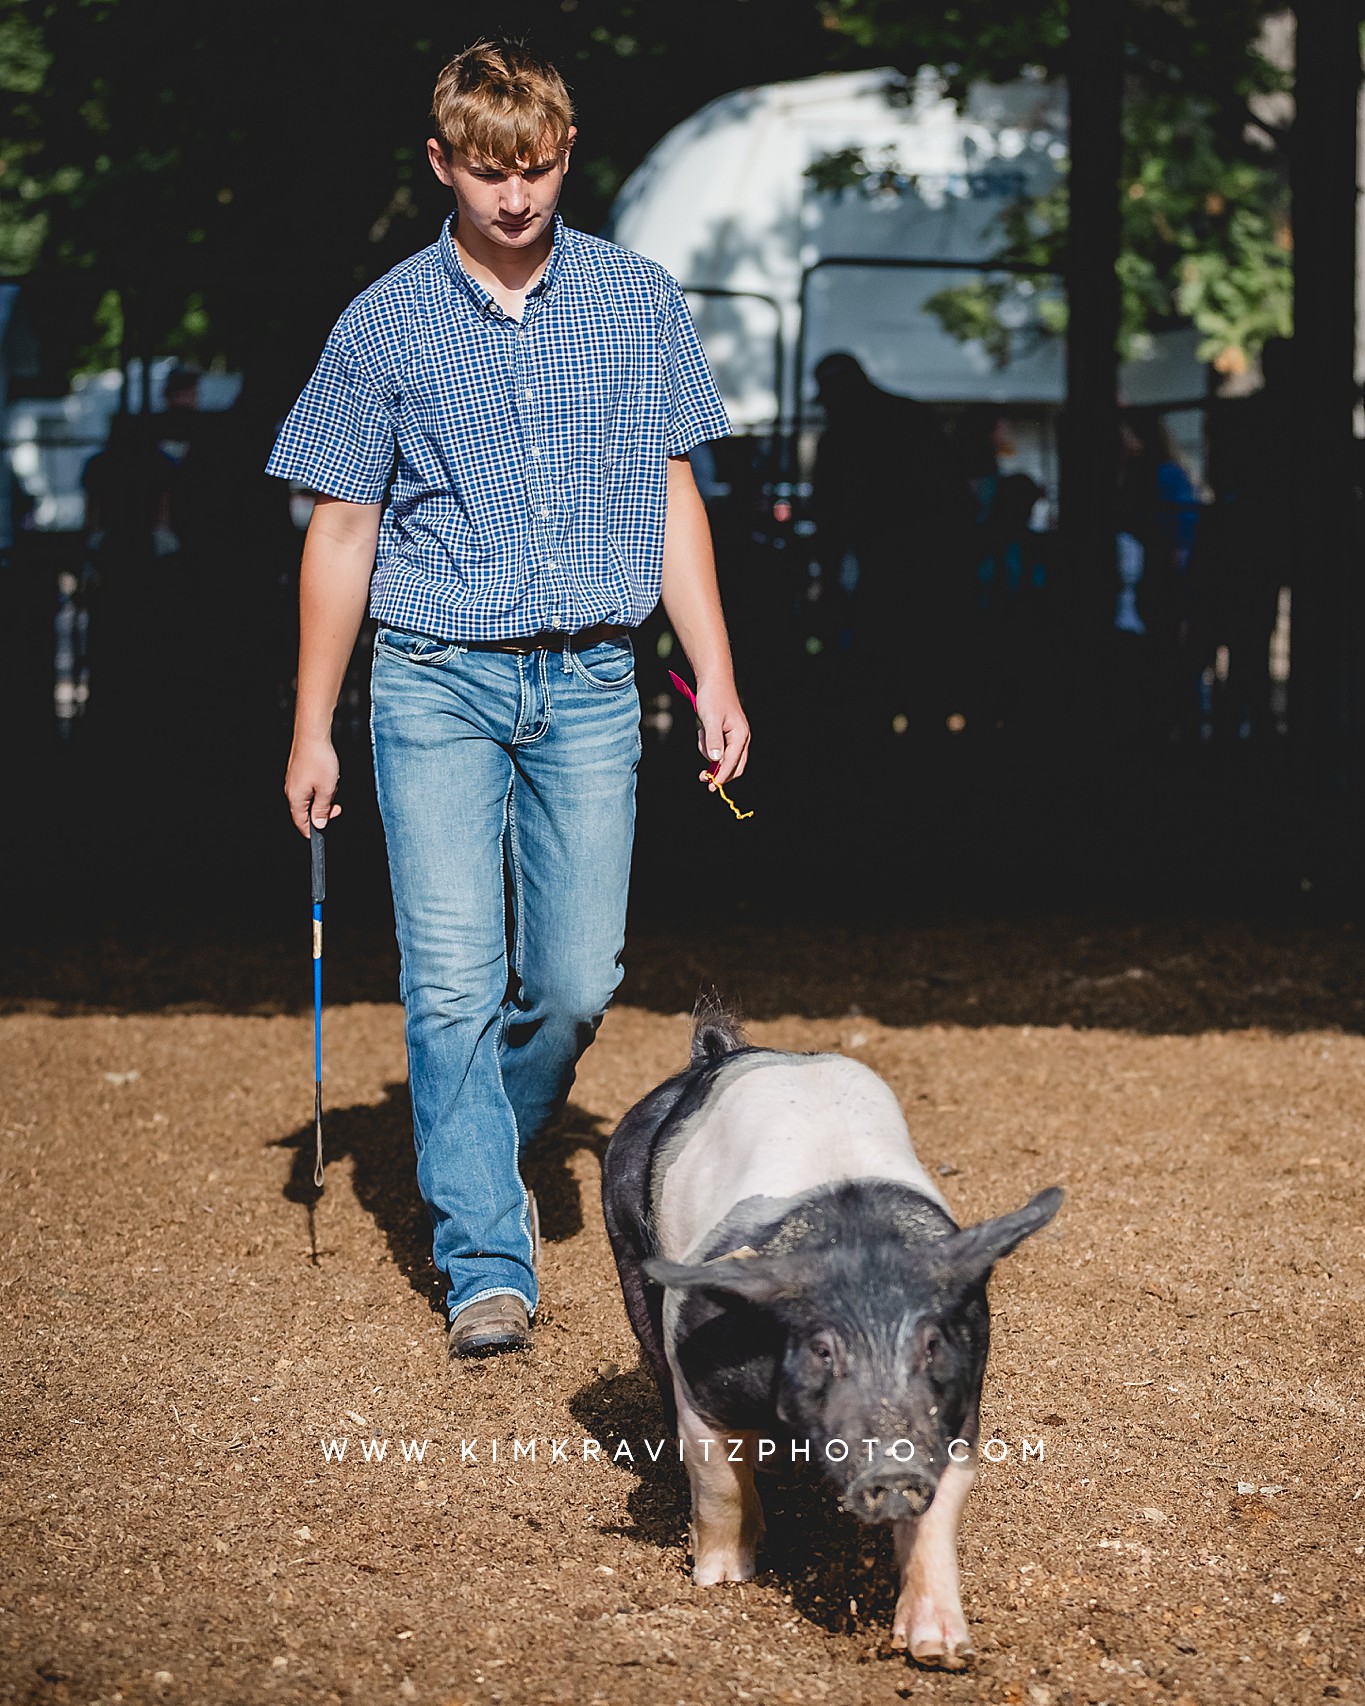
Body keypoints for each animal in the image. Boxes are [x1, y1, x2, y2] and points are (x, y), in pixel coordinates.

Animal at [604, 1009, 1057, 1665]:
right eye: (821, 1350)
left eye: (930, 1346)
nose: (892, 1469)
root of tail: (716, 1054)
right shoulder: (699, 1375)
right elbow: (716, 1481)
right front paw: (722, 1579)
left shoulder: (960, 1404)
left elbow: (938, 1520)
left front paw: (940, 1652)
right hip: (625, 1242)